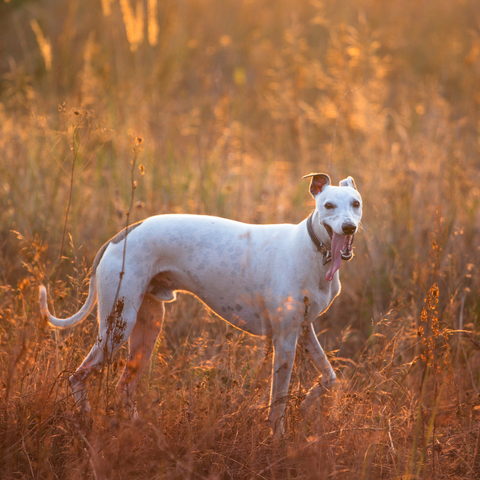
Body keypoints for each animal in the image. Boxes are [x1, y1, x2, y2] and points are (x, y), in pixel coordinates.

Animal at [40, 174, 360, 436]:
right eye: (328, 205)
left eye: (355, 203)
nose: (348, 227)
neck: (311, 249)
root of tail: (120, 236)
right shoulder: (284, 339)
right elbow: (278, 401)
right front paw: (277, 441)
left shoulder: (303, 330)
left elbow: (330, 376)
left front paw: (306, 404)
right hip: (116, 329)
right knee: (77, 377)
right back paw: (86, 419)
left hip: (146, 328)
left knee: (124, 386)